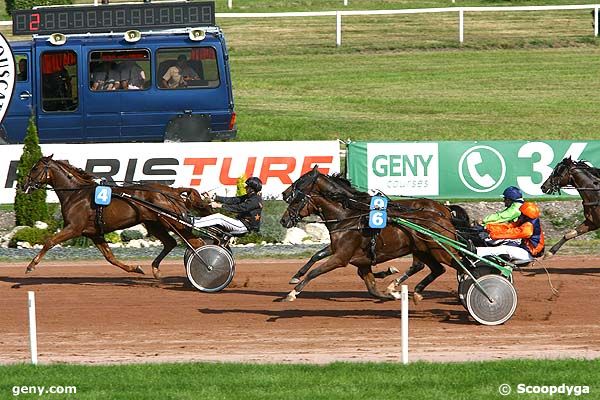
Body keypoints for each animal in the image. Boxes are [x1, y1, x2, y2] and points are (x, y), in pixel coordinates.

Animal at [21, 155, 211, 278]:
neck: (76, 193)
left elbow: (49, 241)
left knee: (197, 243)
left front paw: (31, 266)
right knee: (171, 243)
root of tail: (173, 191)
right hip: (154, 223)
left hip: (173, 222)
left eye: (35, 168)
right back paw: (156, 269)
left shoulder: (74, 228)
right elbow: (110, 258)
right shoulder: (94, 233)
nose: (23, 185)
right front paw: (136, 268)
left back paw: (206, 267)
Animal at [282, 167, 460, 302]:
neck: (349, 214)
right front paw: (296, 276)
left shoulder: (341, 256)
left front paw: (293, 292)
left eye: (301, 180)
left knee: (422, 265)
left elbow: (316, 270)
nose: (284, 194)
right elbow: (317, 255)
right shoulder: (343, 250)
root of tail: (445, 210)